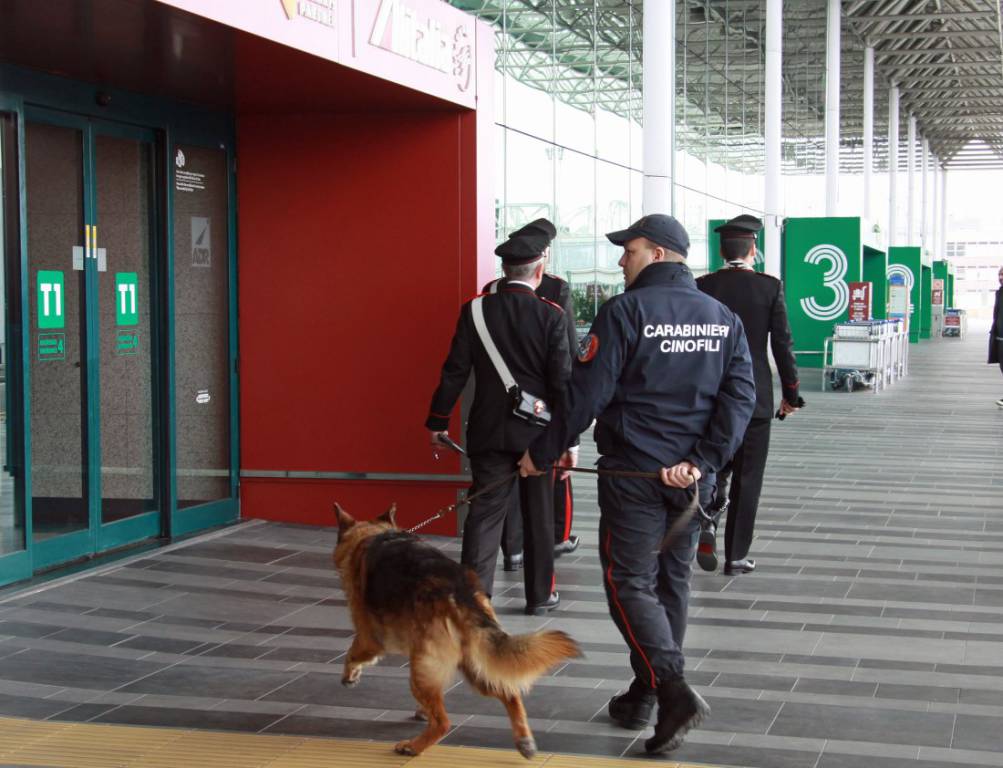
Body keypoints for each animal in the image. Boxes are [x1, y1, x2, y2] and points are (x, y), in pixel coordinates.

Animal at [332, 501, 581, 761]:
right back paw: (524, 741)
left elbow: (352, 654)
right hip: (474, 665)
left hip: (423, 670)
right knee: (509, 693)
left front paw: (350, 675)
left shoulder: (369, 638)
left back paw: (414, 746)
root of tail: (459, 593)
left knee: (443, 722)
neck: (373, 535)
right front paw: (422, 711)